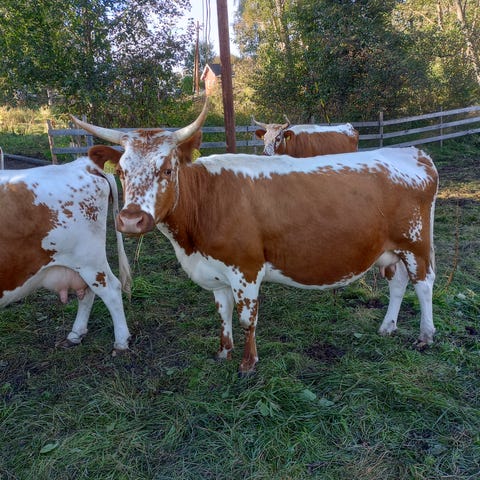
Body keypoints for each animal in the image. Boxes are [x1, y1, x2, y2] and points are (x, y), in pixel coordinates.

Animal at [0, 158, 131, 352]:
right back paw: (75, 335)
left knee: (111, 289)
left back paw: (121, 341)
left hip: (89, 259)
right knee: (88, 292)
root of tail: (83, 164)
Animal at [72, 103, 438, 375]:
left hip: (416, 244)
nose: (131, 219)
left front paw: (248, 363)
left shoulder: (246, 269)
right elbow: (223, 314)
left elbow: (248, 318)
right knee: (397, 283)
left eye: (167, 170)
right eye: (122, 171)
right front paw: (224, 352)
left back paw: (425, 335)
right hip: (392, 250)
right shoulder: (216, 270)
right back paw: (388, 327)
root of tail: (412, 153)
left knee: (424, 284)